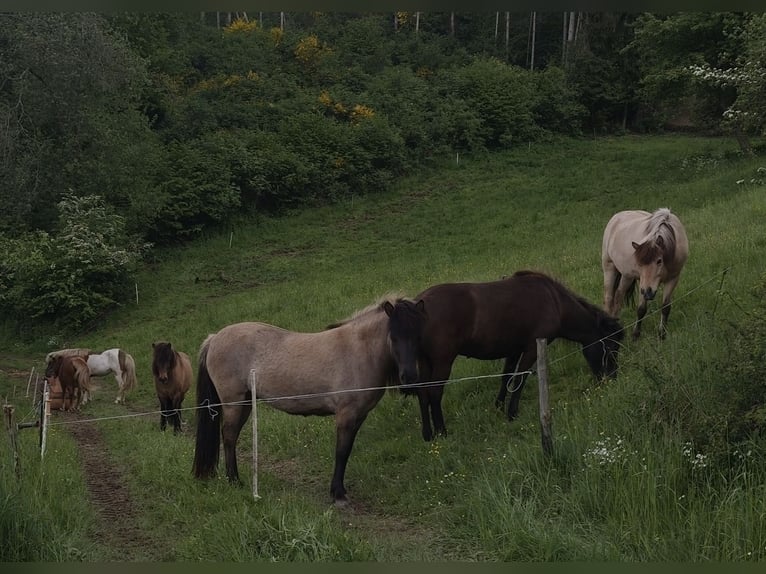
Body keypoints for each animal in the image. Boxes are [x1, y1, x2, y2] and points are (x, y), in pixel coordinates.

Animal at [192, 295, 422, 506]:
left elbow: (346, 451)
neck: (358, 352)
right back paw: (234, 481)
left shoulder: (359, 416)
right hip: (234, 403)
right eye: (394, 337)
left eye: (418, 335)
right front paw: (338, 494)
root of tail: (214, 338)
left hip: (246, 403)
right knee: (229, 437)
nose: (409, 377)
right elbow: (341, 452)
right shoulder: (346, 415)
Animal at [389, 271, 625, 441]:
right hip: (442, 362)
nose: (612, 378)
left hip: (424, 362)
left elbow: (507, 377)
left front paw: (499, 406)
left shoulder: (514, 350)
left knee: (423, 393)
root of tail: (419, 303)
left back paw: (428, 434)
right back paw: (441, 431)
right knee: (435, 392)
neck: (554, 301)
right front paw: (512, 412)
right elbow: (520, 378)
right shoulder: (531, 349)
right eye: (610, 347)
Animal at [601, 208, 689, 339]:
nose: (648, 292)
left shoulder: (673, 278)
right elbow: (641, 309)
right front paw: (635, 335)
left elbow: (665, 307)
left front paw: (662, 334)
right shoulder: (643, 283)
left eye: (659, 261)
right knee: (612, 297)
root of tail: (616, 217)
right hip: (614, 270)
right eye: (639, 263)